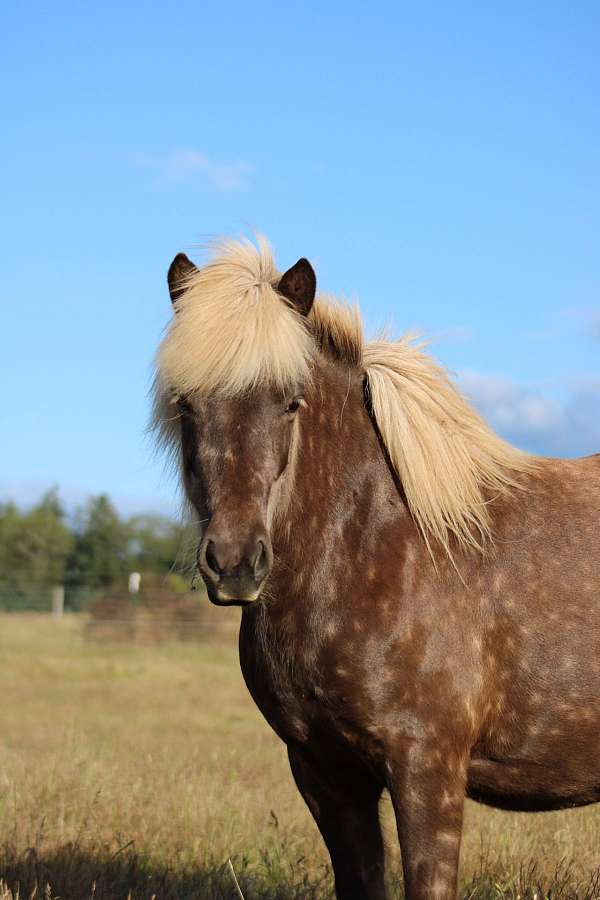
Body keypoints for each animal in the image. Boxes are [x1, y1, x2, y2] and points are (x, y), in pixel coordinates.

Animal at [152, 236, 600, 900]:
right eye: (186, 404)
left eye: (291, 402)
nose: (234, 564)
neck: (380, 548)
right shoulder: (326, 774)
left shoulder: (426, 771)